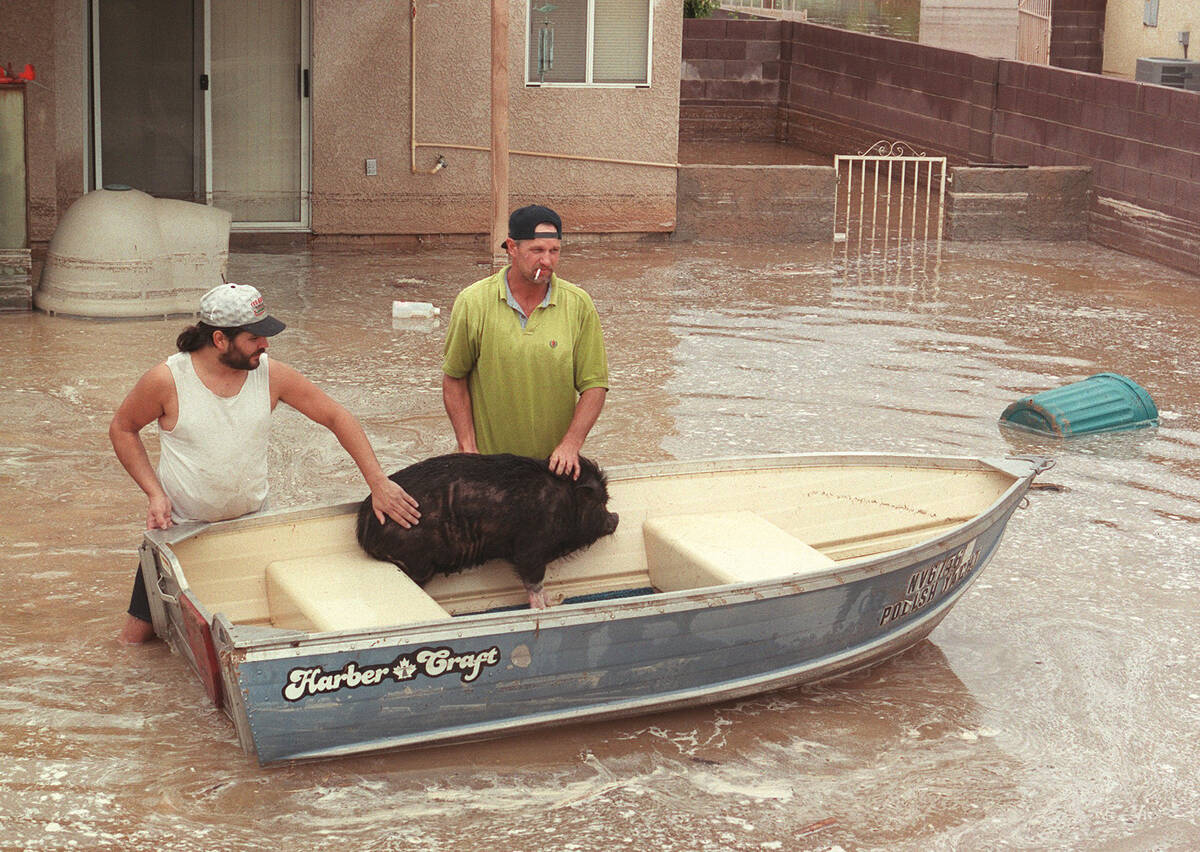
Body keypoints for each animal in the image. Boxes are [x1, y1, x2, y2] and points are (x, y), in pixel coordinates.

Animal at [352, 453, 619, 607]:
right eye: (600, 501)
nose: (615, 517)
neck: (562, 502)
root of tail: (363, 526)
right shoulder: (530, 548)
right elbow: (533, 579)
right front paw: (543, 607)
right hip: (415, 561)